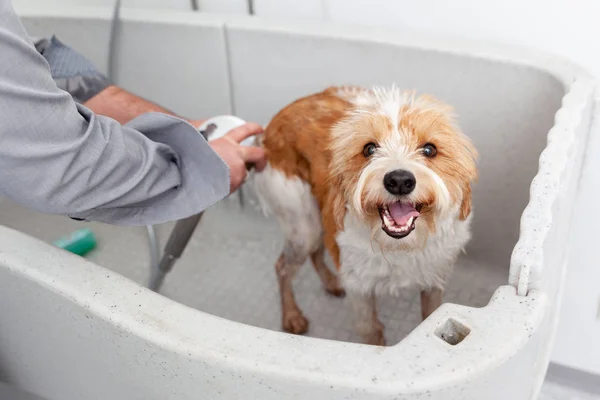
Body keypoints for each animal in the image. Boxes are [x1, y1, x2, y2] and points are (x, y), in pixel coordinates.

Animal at [251, 86, 476, 346]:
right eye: (369, 149)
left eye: (429, 149)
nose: (400, 180)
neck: (398, 246)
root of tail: (269, 128)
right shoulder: (360, 288)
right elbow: (371, 330)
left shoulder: (434, 279)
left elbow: (430, 315)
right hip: (302, 225)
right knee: (283, 267)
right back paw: (292, 316)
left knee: (316, 251)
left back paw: (331, 283)